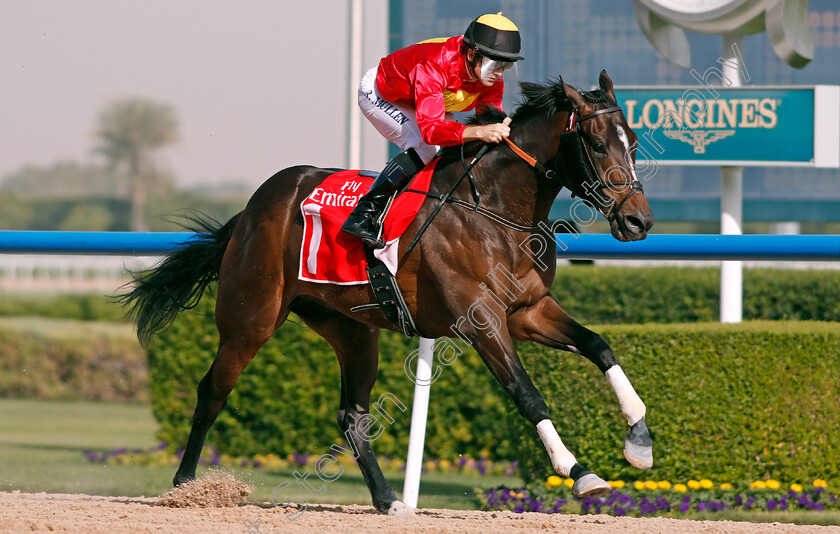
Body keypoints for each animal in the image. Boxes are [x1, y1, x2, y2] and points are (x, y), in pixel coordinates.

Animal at [121, 72, 656, 520]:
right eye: (596, 143)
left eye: (632, 142)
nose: (638, 221)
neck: (497, 211)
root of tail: (251, 210)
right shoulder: (481, 321)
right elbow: (528, 394)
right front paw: (580, 472)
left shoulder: (528, 311)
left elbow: (598, 345)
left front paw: (639, 438)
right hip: (250, 318)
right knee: (212, 390)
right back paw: (186, 485)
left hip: (352, 329)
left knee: (353, 417)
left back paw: (388, 500)